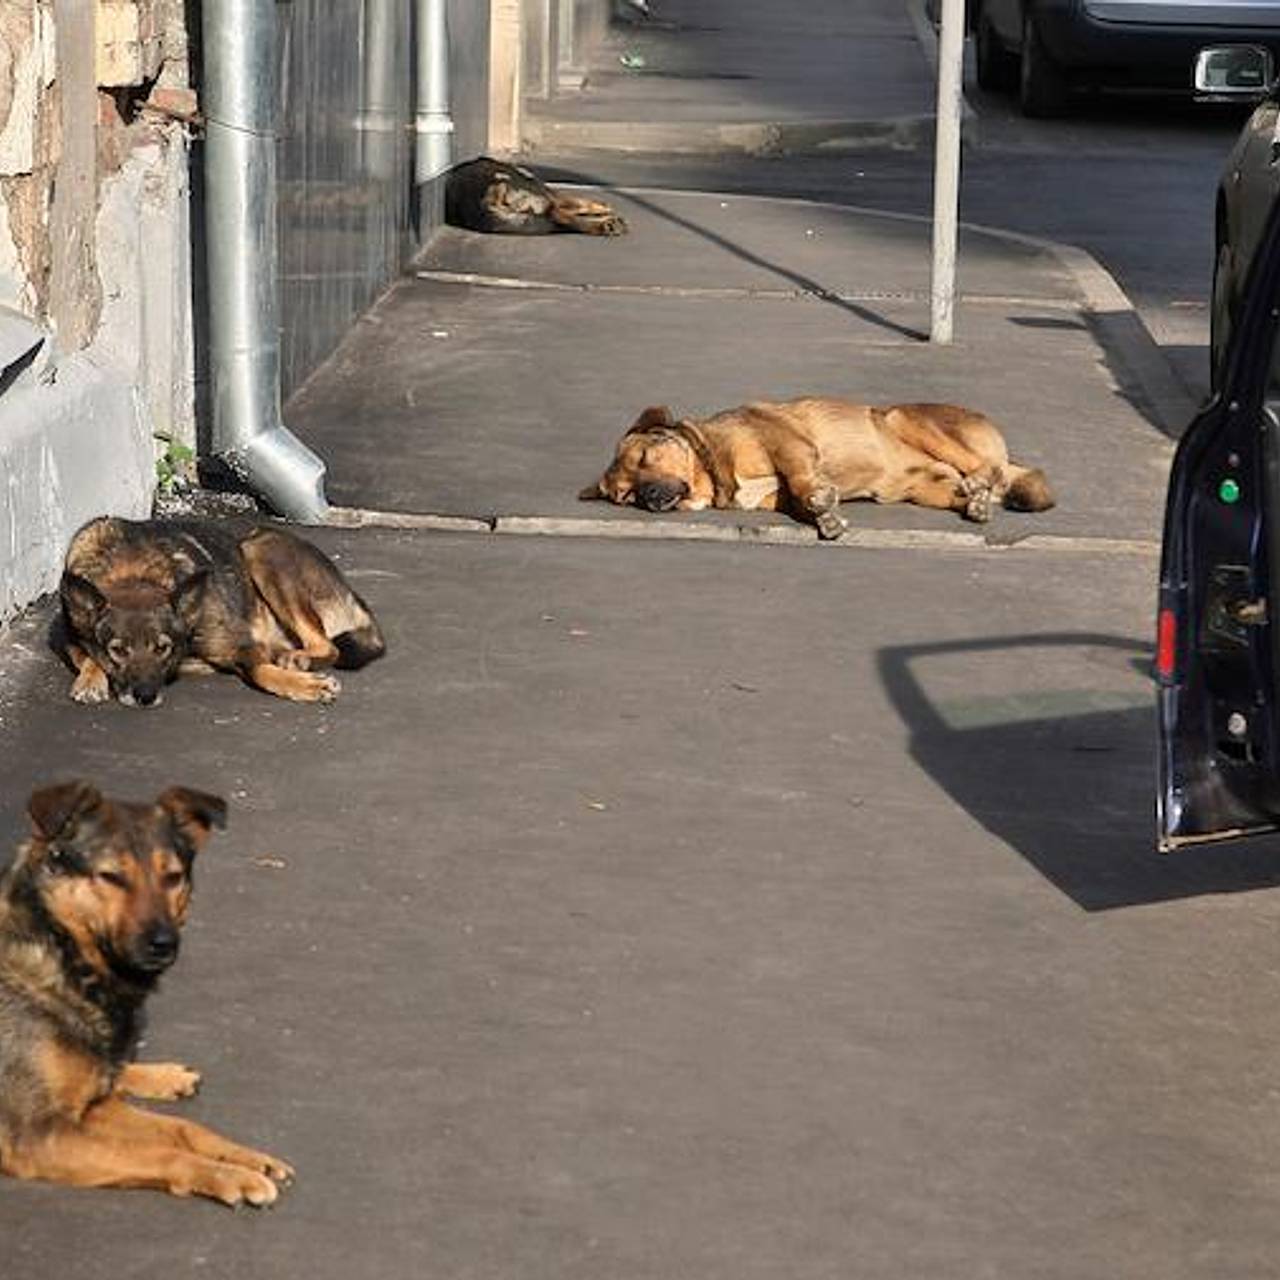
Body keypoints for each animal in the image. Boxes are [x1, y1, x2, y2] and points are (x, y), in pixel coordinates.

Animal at [0, 773, 293, 1203]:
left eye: (173, 877)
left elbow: (184, 1129)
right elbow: (161, 1153)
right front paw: (229, 1176)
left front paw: (246, 1157)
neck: (59, 952)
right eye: (111, 877)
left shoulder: (94, 1108)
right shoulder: (38, 1136)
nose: (164, 944)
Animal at [55, 514, 384, 706]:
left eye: (163, 648)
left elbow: (261, 671)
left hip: (260, 547)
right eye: (117, 650)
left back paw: (299, 659)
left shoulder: (239, 646)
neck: (133, 572)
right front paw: (90, 678)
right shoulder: (66, 634)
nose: (146, 697)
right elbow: (84, 653)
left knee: (328, 646)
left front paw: (303, 685)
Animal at [581, 394, 1049, 535]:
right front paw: (822, 515)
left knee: (987, 471)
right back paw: (975, 502)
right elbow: (799, 501)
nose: (648, 496)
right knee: (964, 487)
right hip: (925, 486)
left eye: (645, 457)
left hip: (901, 418)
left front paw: (823, 506)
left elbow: (803, 481)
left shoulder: (788, 444)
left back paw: (980, 489)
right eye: (625, 495)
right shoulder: (777, 496)